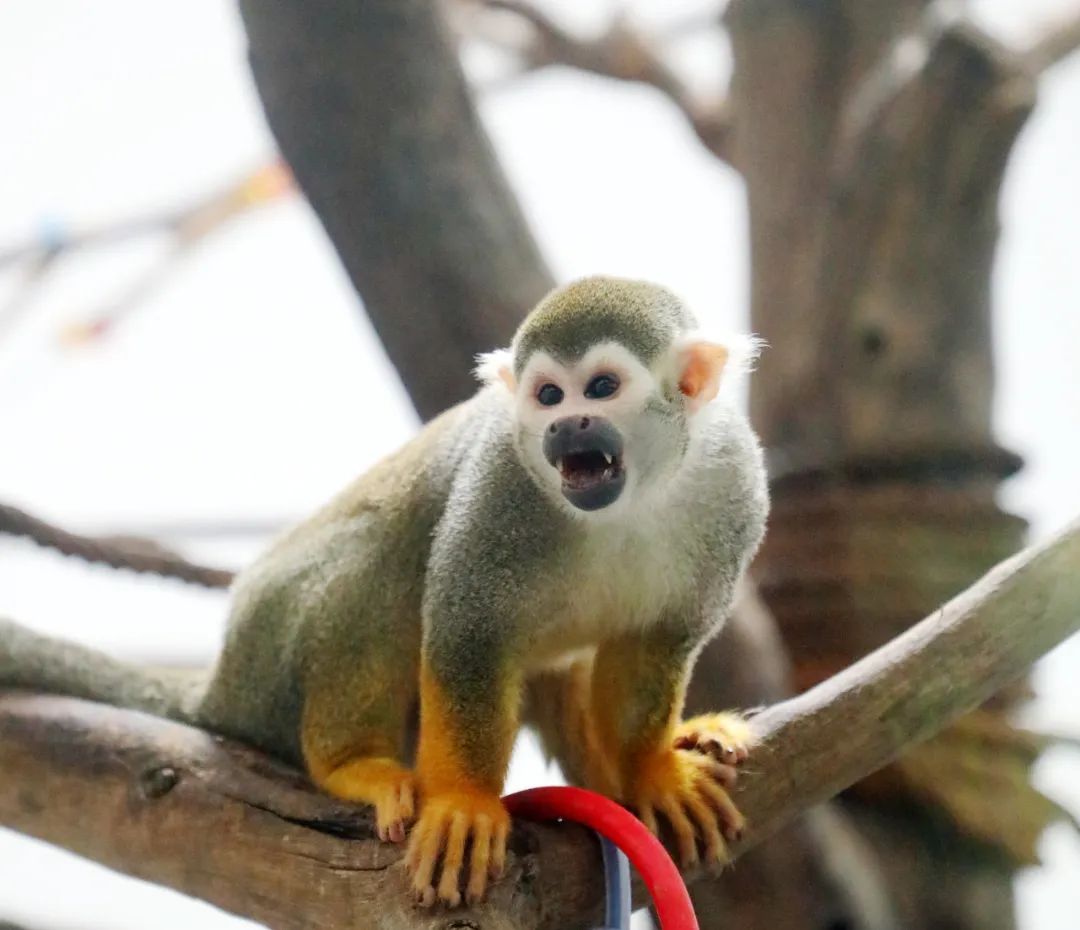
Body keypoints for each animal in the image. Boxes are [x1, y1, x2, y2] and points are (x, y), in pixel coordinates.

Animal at [0, 275, 768, 907]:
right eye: (549, 395)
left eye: (602, 387)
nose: (565, 425)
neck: (629, 500)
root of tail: (222, 683)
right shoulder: (500, 483)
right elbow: (465, 632)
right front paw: (463, 803)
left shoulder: (734, 481)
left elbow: (657, 642)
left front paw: (654, 768)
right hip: (269, 653)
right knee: (381, 562)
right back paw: (350, 764)